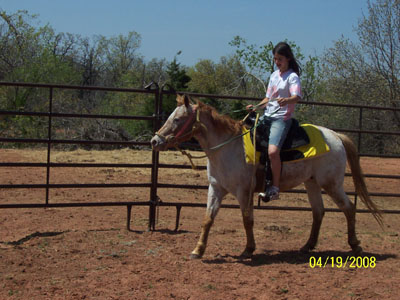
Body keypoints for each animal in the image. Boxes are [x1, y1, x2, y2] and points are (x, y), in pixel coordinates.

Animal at [149, 94, 382, 258]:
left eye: (178, 119)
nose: (154, 141)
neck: (227, 147)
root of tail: (336, 136)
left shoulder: (243, 191)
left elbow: (247, 219)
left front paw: (248, 249)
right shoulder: (216, 188)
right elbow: (208, 219)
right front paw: (198, 250)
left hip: (332, 184)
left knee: (349, 208)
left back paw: (355, 245)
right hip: (312, 183)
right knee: (318, 212)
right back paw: (307, 246)